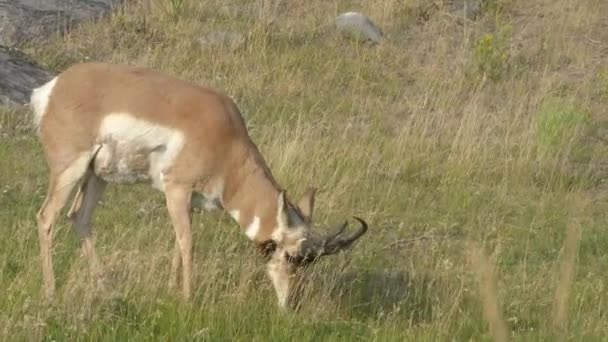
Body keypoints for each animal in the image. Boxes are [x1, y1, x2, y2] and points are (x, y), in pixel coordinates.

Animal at [30, 62, 368, 308]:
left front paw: (170, 290)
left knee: (79, 218)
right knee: (46, 217)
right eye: (290, 256)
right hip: (70, 170)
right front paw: (187, 298)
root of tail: (54, 88)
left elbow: (177, 244)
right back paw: (50, 293)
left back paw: (106, 289)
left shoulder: (188, 200)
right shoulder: (176, 190)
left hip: (97, 176)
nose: (293, 303)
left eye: (311, 261)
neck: (226, 136)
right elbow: (187, 243)